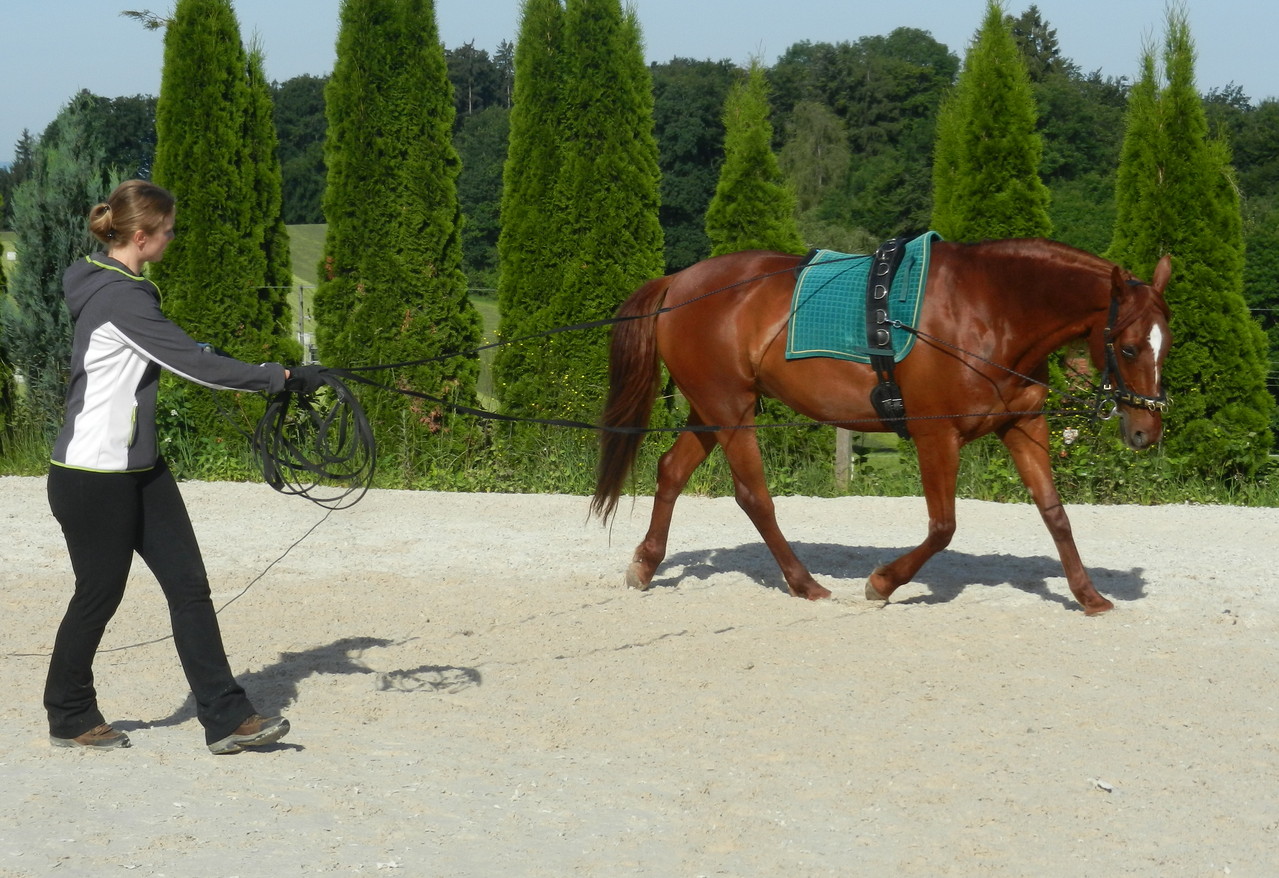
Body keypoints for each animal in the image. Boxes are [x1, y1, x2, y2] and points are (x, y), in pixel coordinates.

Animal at [588, 236, 1171, 616]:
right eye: (1128, 347)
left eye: (1168, 343)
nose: (1146, 431)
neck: (991, 309)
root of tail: (678, 281)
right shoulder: (937, 435)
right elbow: (943, 527)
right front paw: (882, 583)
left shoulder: (1023, 426)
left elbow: (1055, 513)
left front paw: (1088, 596)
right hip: (731, 411)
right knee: (754, 496)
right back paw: (805, 584)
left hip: (712, 410)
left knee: (672, 470)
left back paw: (645, 566)